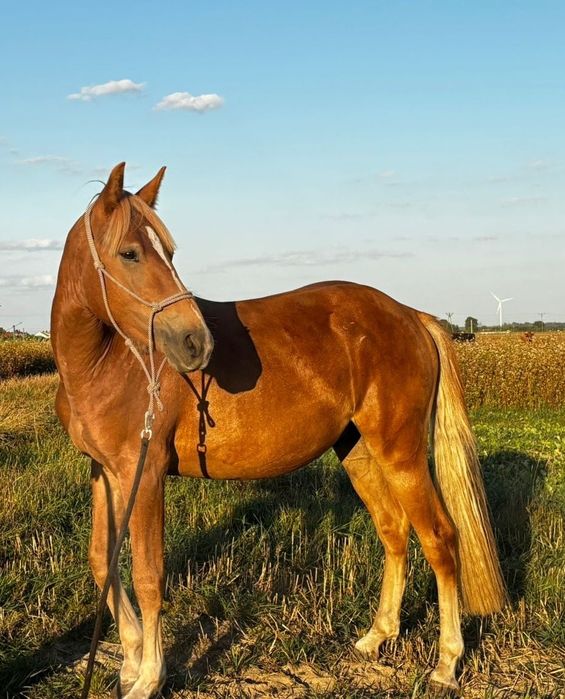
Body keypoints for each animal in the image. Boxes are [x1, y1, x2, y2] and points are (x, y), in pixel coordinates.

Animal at [51, 163, 506, 698]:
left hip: (401, 452)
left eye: (169, 252)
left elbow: (148, 574)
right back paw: (376, 636)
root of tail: (411, 316)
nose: (196, 342)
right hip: (357, 450)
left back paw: (446, 663)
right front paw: (129, 659)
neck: (106, 363)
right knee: (394, 530)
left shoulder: (145, 474)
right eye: (129, 252)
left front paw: (148, 676)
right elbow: (103, 561)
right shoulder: (105, 471)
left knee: (438, 537)